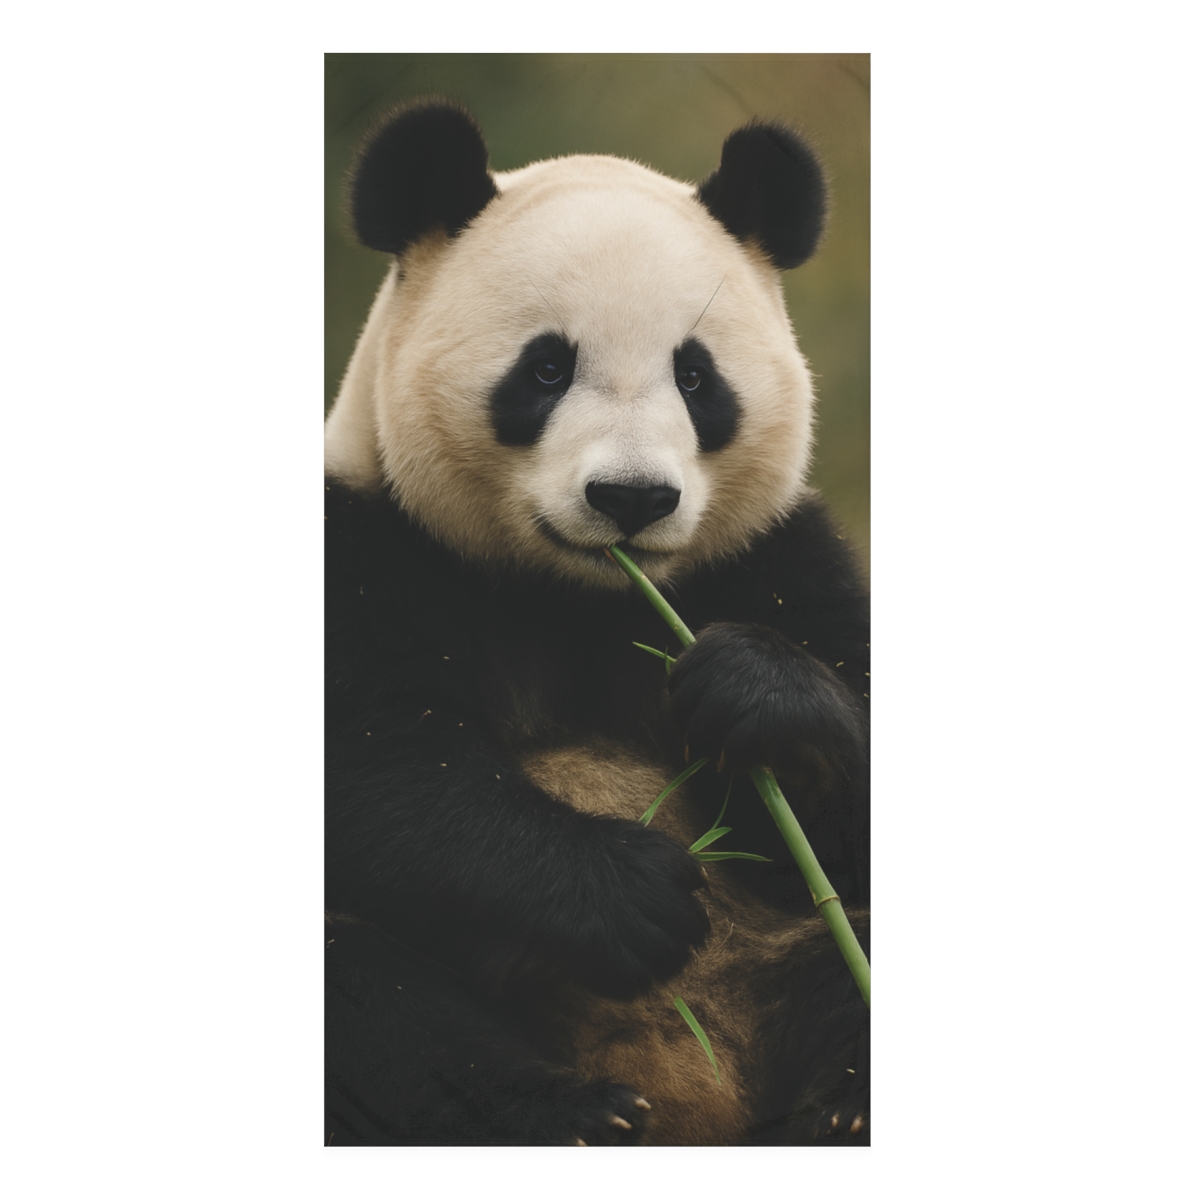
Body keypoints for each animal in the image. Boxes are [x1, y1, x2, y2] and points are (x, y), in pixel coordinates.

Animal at [324, 101, 870, 1147]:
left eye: (696, 379)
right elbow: (383, 768)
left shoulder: (776, 560)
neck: (576, 597)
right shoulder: (372, 550)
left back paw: (833, 1114)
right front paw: (632, 895)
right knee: (365, 983)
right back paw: (563, 1115)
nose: (632, 499)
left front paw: (752, 693)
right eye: (546, 369)